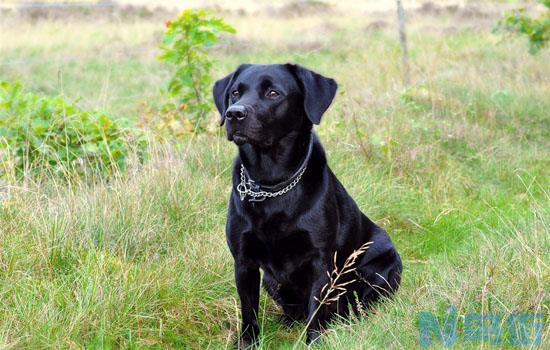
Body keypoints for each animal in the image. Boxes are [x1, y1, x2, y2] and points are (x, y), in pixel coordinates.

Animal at [213, 64, 404, 346]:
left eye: (273, 92)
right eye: (235, 92)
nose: (234, 113)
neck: (271, 184)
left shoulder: (320, 260)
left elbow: (316, 309)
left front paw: (314, 341)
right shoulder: (243, 261)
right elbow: (249, 311)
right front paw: (248, 343)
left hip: (381, 268)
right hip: (271, 280)